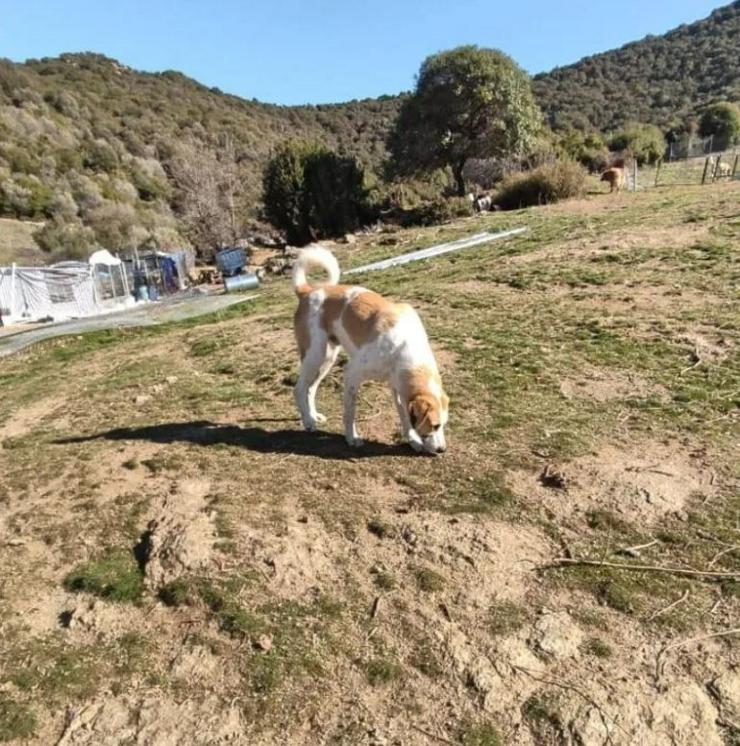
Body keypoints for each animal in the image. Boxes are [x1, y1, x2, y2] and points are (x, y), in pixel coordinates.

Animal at [292, 247, 448, 450]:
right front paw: (352, 438)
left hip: (327, 358)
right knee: (299, 389)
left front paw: (413, 440)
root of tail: (308, 291)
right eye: (435, 425)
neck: (404, 346)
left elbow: (405, 418)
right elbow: (350, 413)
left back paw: (313, 416)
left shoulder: (398, 387)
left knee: (310, 388)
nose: (442, 450)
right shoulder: (352, 373)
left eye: (444, 424)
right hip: (315, 355)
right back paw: (308, 421)